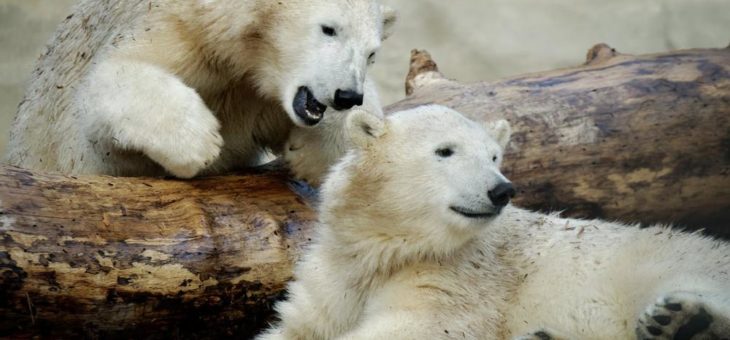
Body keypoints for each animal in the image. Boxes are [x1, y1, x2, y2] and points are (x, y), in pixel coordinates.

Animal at [4, 0, 392, 179]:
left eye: (372, 53)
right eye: (329, 29)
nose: (346, 95)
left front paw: (316, 151)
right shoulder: (175, 30)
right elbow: (103, 84)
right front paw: (196, 140)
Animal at [258, 105, 728, 338]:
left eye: (494, 156)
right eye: (445, 151)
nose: (501, 190)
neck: (389, 248)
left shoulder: (459, 281)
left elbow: (418, 327)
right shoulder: (333, 274)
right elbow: (298, 326)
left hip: (665, 259)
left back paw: (685, 320)